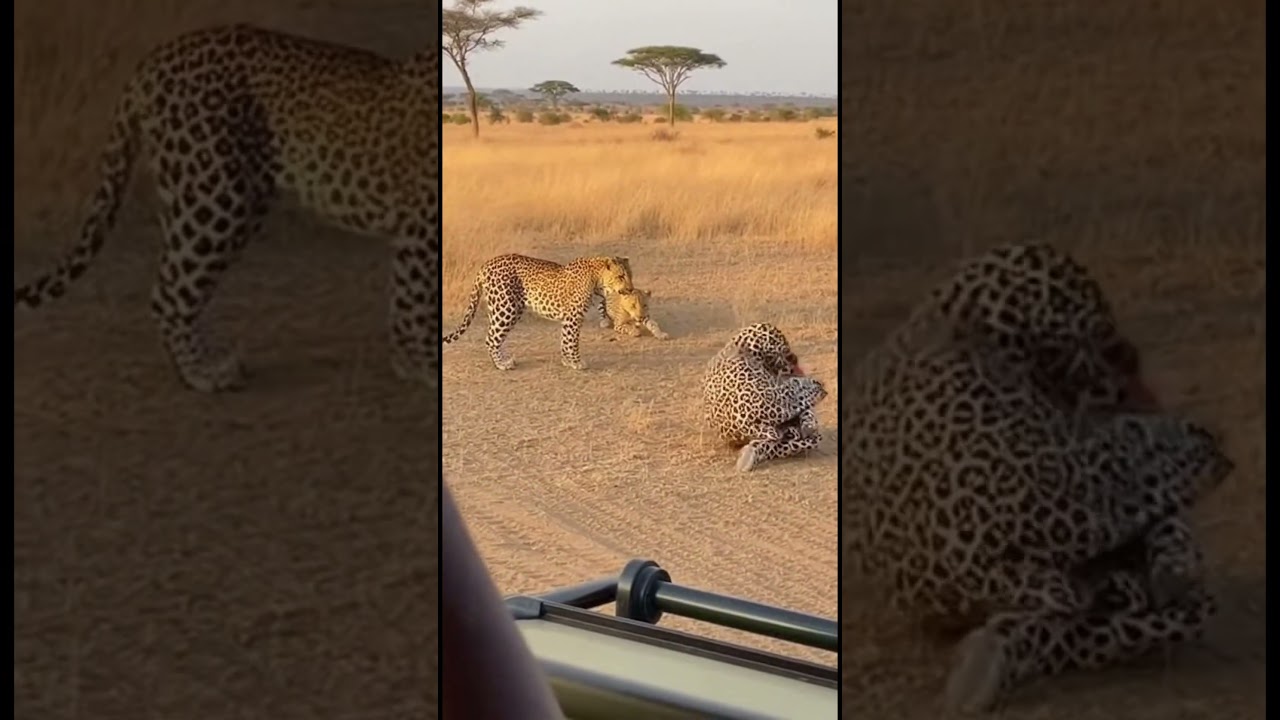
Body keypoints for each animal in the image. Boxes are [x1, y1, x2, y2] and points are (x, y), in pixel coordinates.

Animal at [12, 24, 439, 393]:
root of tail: (153, 59)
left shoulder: (414, 228)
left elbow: (406, 297)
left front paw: (409, 364)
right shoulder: (421, 226)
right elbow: (415, 299)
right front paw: (425, 367)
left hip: (198, 196)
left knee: (175, 280)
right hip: (216, 196)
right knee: (168, 293)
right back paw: (203, 375)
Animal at [443, 253, 635, 370]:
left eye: (630, 276)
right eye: (621, 276)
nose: (631, 289)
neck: (597, 280)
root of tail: (486, 264)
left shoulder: (568, 318)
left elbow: (565, 340)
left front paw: (567, 361)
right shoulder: (573, 317)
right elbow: (572, 341)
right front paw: (577, 362)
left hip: (500, 308)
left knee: (496, 336)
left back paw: (505, 359)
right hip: (506, 308)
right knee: (491, 338)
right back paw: (502, 365)